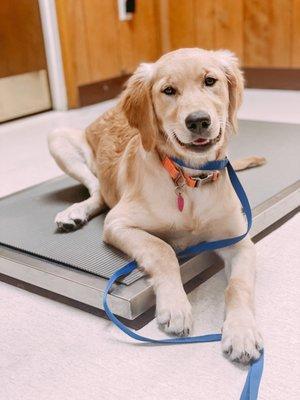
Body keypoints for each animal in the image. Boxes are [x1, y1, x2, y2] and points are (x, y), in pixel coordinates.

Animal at [48, 48, 264, 364]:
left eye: (210, 81)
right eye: (168, 90)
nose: (198, 121)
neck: (189, 179)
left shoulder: (239, 240)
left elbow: (239, 287)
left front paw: (242, 331)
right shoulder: (119, 223)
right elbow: (163, 251)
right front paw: (175, 306)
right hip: (58, 138)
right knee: (97, 190)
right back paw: (74, 212)